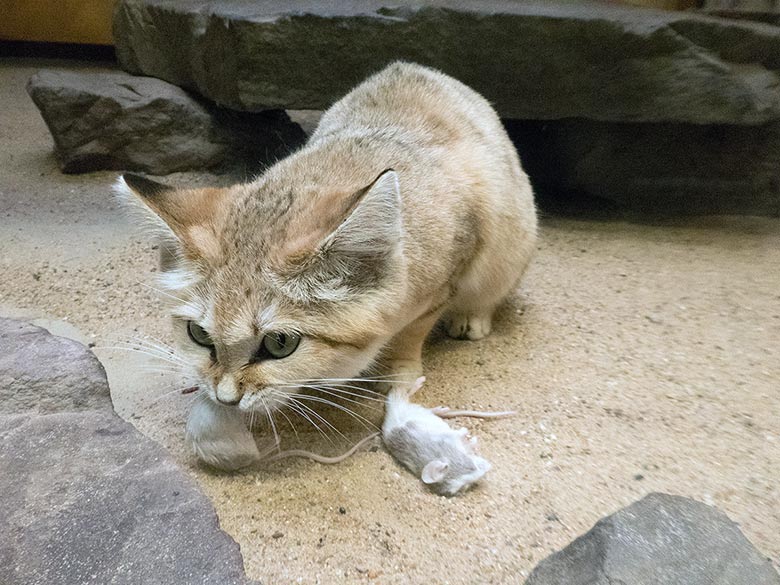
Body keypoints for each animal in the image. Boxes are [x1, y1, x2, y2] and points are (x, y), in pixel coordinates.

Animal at [117, 61, 536, 470]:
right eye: (198, 334)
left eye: (280, 343)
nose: (225, 398)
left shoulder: (444, 278)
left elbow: (410, 333)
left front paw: (398, 373)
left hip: (514, 243)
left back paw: (471, 317)